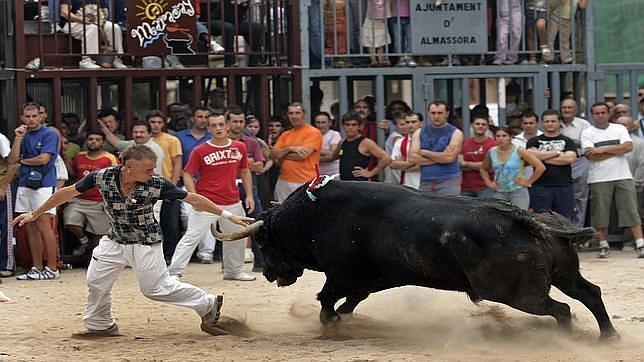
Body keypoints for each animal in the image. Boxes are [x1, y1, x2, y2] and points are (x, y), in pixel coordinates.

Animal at [218, 180, 620, 338]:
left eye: (265, 242)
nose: (270, 274)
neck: (314, 215)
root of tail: (526, 218)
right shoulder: (369, 280)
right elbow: (348, 303)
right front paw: (343, 321)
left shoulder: (342, 274)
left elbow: (327, 300)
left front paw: (330, 325)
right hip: (563, 273)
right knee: (590, 293)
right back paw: (607, 337)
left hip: (517, 293)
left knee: (561, 309)